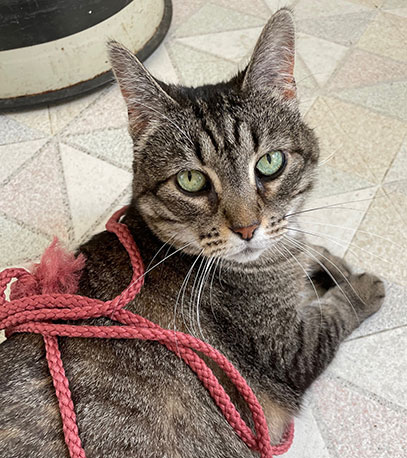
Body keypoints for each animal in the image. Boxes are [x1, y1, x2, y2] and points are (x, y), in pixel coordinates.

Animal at [0, 8, 384, 458]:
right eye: (190, 181)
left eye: (270, 162)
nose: (247, 228)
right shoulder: (290, 349)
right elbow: (335, 314)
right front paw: (361, 285)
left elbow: (303, 248)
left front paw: (323, 258)